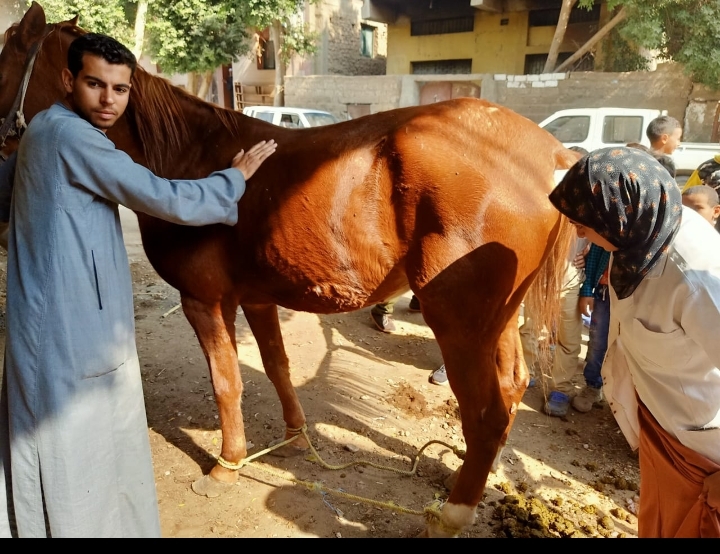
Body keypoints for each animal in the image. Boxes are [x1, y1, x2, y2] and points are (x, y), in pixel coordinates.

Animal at [0, 3, 572, 536]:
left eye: (3, 57)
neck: (187, 156)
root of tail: (553, 156)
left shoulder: (203, 301)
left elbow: (226, 382)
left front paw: (228, 464)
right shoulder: (255, 297)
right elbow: (277, 367)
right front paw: (296, 438)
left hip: (458, 324)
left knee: (486, 414)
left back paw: (451, 513)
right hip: (500, 320)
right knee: (512, 389)